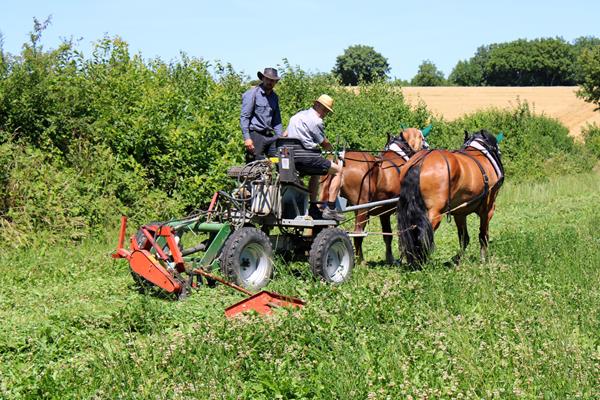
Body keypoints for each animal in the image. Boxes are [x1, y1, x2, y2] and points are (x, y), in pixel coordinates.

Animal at [322, 128, 428, 264]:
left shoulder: (384, 212)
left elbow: (387, 235)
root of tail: (339, 162)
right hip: (362, 208)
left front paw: (390, 258)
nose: (427, 146)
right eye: (422, 137)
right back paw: (361, 261)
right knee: (358, 234)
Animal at [396, 130, 504, 264]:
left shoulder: (460, 213)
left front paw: (458, 259)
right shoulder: (488, 210)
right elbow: (483, 236)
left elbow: (464, 238)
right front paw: (483, 259)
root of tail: (420, 162)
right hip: (435, 214)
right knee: (422, 236)